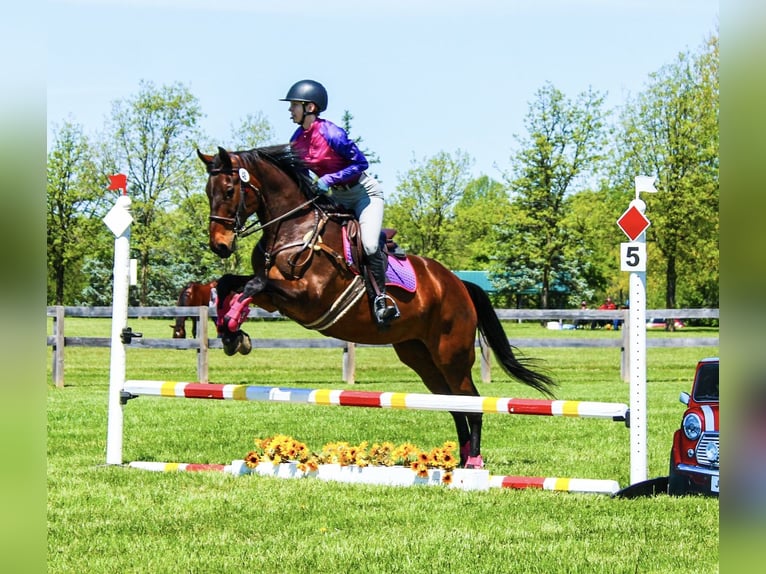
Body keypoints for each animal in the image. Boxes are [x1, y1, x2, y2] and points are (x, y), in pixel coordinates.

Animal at [196, 144, 556, 468]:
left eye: (229, 190)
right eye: (208, 191)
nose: (220, 245)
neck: (293, 228)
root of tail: (459, 285)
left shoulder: (307, 299)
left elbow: (253, 285)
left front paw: (234, 326)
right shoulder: (276, 299)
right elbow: (229, 283)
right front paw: (230, 332)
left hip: (451, 354)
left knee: (471, 400)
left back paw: (475, 462)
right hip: (420, 357)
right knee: (454, 403)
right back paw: (463, 458)